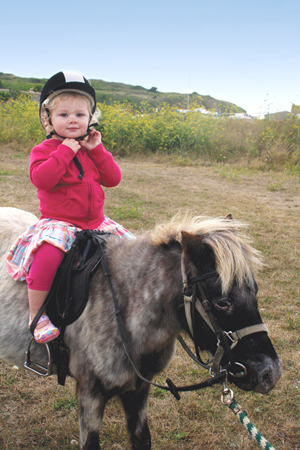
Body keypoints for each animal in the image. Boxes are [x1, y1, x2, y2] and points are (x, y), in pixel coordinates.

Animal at [0, 208, 282, 450]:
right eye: (223, 302)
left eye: (255, 291)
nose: (270, 373)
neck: (125, 305)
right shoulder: (90, 392)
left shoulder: (138, 390)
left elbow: (142, 439)